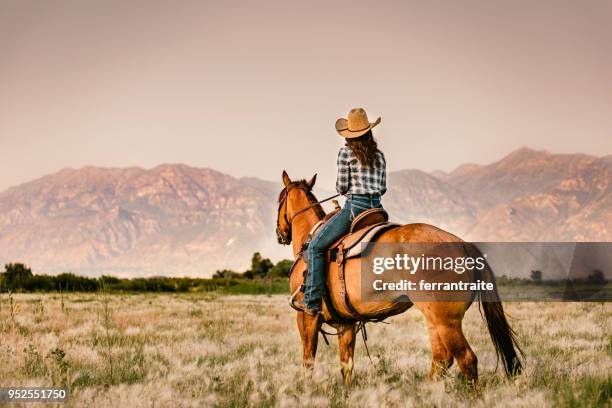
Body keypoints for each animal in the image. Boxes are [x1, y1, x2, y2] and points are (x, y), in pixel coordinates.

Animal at [276, 171, 520, 386]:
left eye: (280, 199)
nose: (280, 234)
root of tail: (463, 244)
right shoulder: (346, 323)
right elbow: (346, 366)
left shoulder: (306, 317)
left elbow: (308, 360)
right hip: (434, 319)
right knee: (441, 359)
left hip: (446, 320)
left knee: (466, 359)